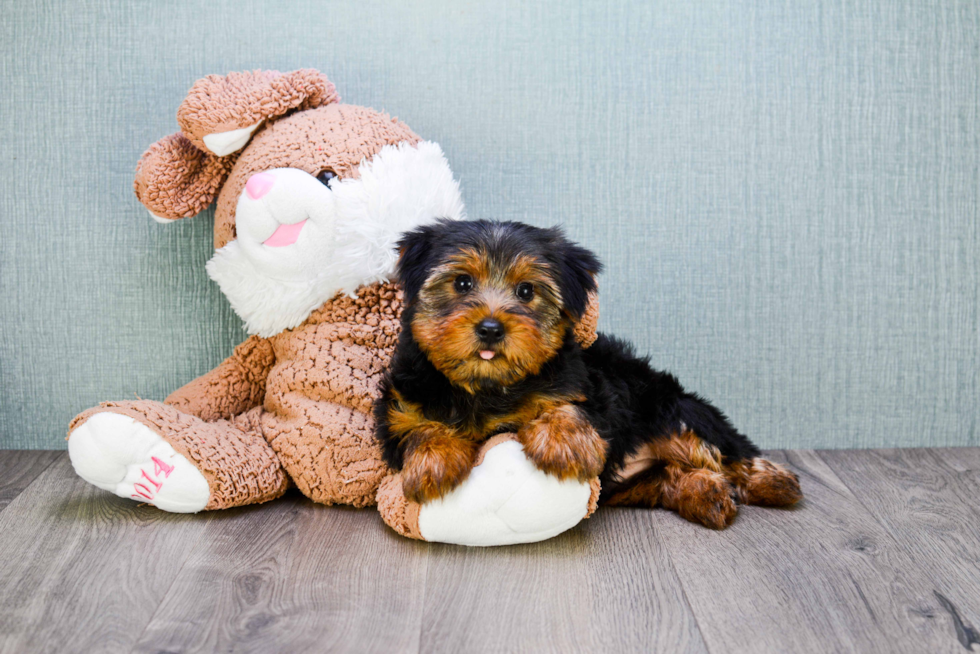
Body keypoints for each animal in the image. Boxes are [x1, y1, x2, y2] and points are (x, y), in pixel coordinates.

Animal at [372, 223, 800, 532]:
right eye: (462, 283)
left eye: (526, 291)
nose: (491, 329)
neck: (486, 385)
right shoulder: (400, 409)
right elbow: (419, 430)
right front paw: (433, 462)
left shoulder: (587, 388)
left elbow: (568, 406)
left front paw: (566, 444)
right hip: (637, 484)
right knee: (679, 473)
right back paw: (706, 494)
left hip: (669, 407)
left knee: (721, 448)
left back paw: (772, 482)